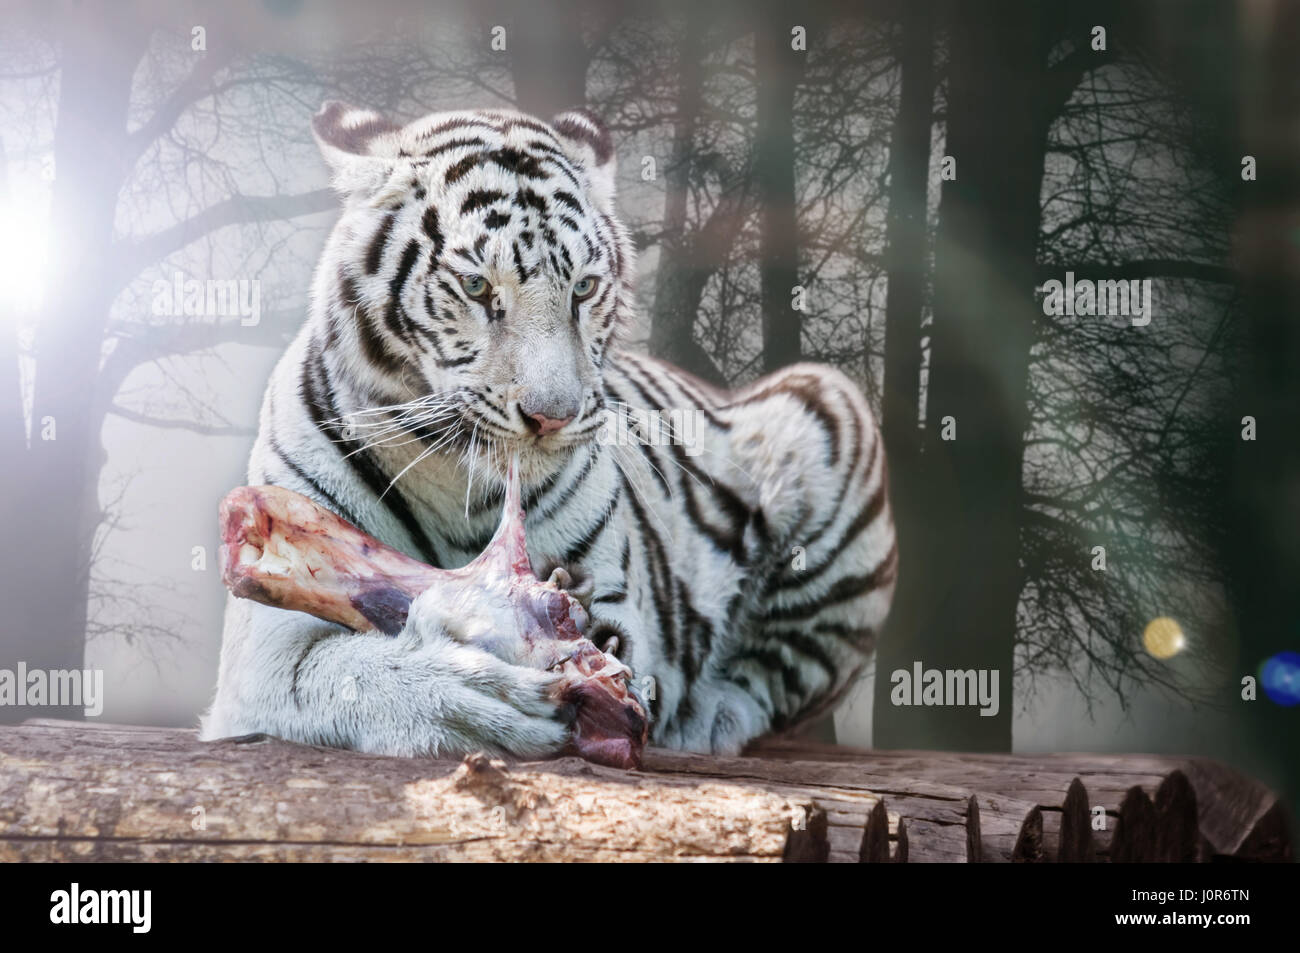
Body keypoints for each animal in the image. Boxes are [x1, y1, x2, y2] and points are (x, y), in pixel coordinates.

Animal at [199, 102, 897, 758]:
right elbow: (341, 671)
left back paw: (712, 715)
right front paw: (476, 694)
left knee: (783, 669)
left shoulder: (615, 599)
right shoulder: (269, 642)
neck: (455, 477)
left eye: (583, 288)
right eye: (476, 286)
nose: (552, 415)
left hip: (826, 410)